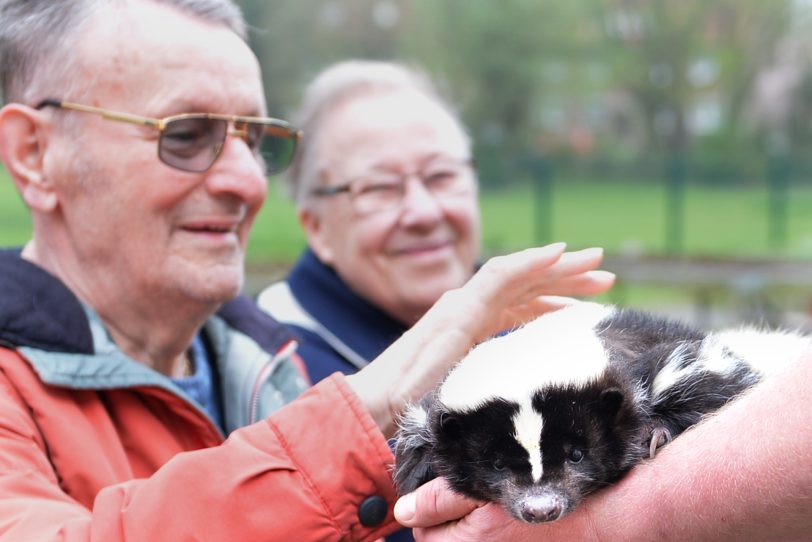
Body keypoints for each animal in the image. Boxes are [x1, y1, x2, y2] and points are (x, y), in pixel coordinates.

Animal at [390, 306, 808, 540]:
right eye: (495, 463)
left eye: (576, 453)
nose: (541, 507)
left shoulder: (679, 368)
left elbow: (705, 386)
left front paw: (655, 433)